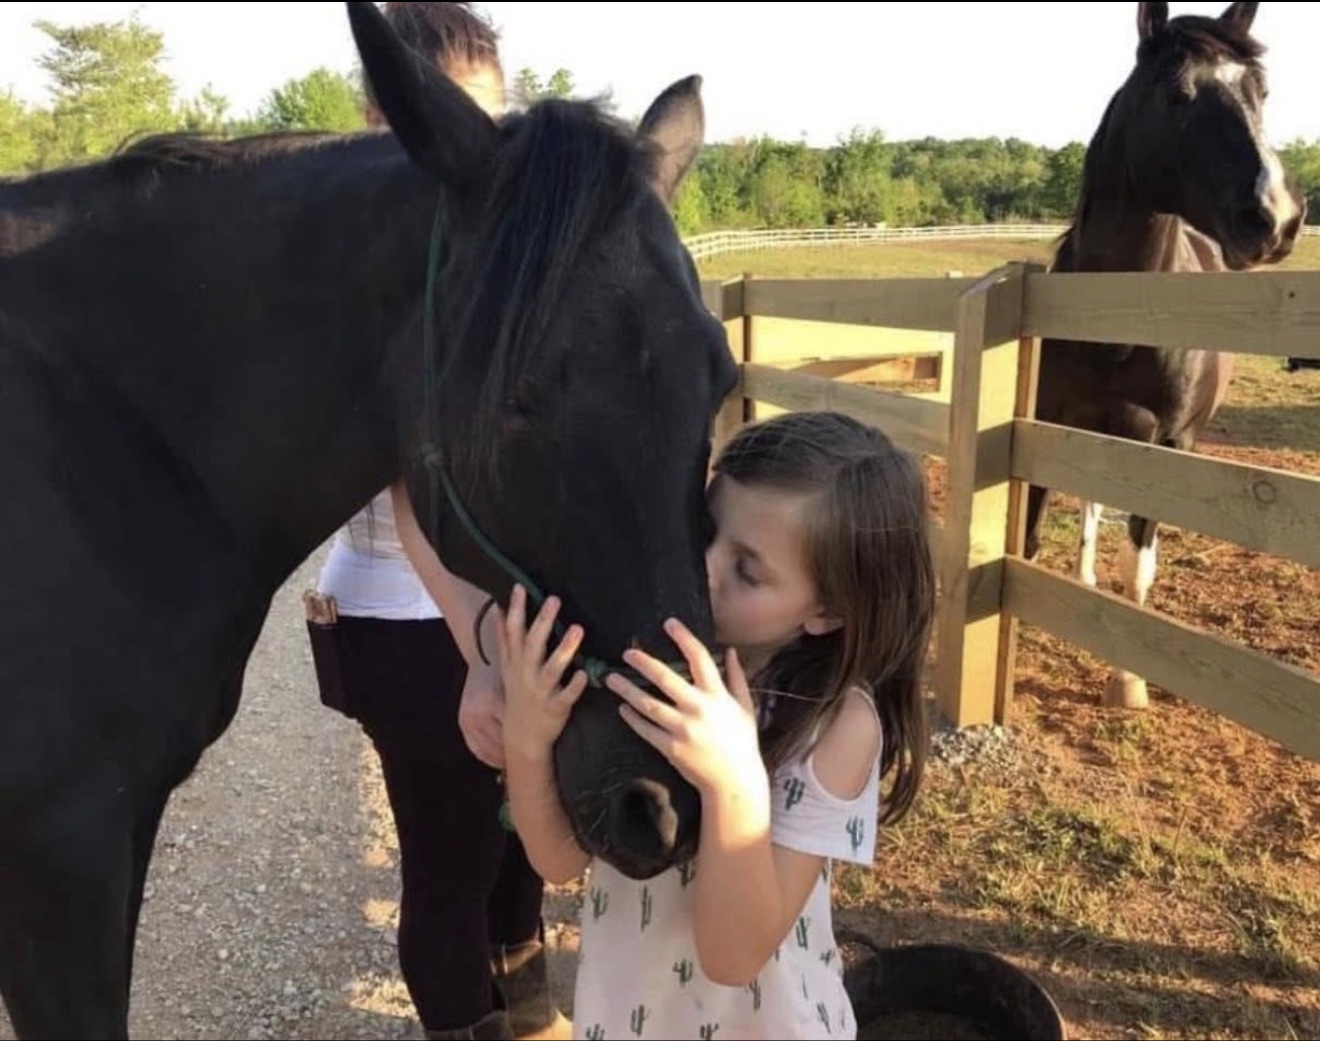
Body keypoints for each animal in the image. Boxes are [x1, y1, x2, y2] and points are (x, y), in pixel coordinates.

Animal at [1023, 1, 1305, 709]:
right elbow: (1029, 539)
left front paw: (1128, 682)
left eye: (1261, 91)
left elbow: (1139, 568)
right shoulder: (1045, 427)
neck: (1118, 320)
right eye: (1178, 94)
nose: (1278, 217)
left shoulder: (1159, 448)